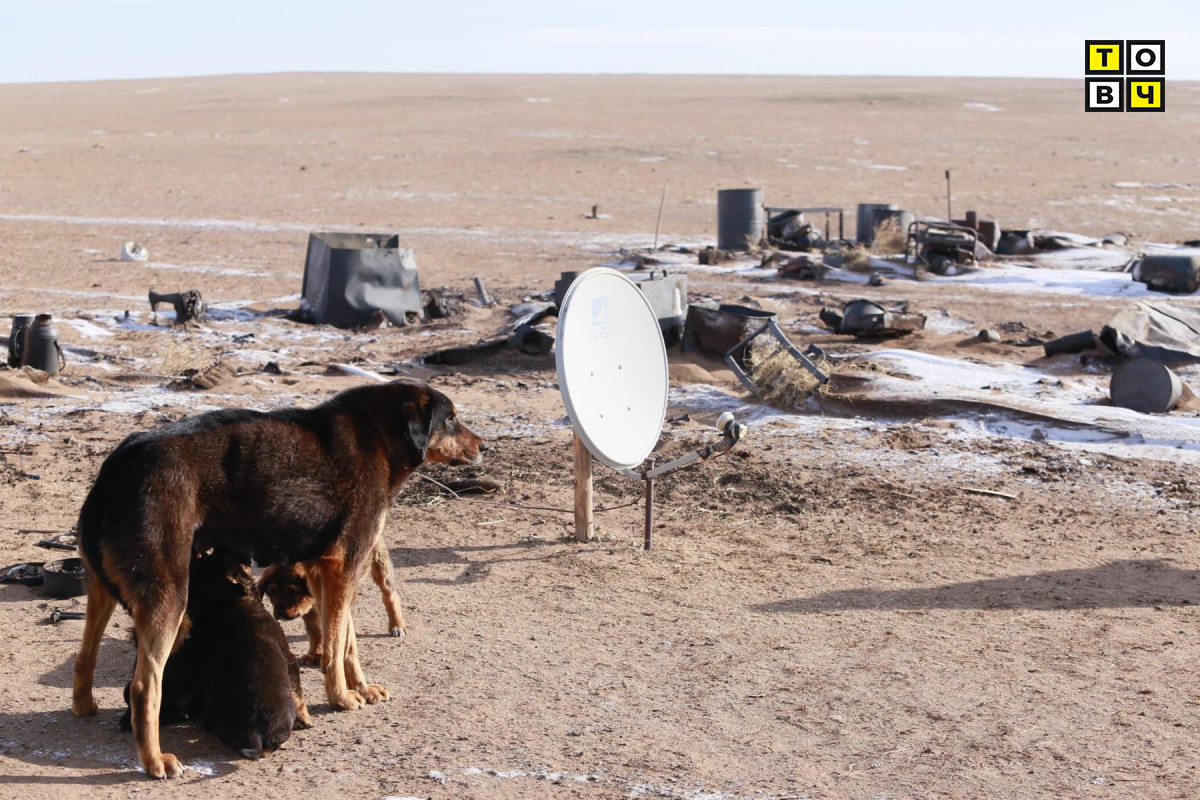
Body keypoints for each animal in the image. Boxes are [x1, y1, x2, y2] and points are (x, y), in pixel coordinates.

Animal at [258, 533, 405, 667]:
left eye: (292, 591)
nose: (279, 614)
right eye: (270, 592)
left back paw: (397, 625)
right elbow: (315, 632)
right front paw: (314, 654)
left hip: (380, 564)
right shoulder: (308, 610)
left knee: (390, 596)